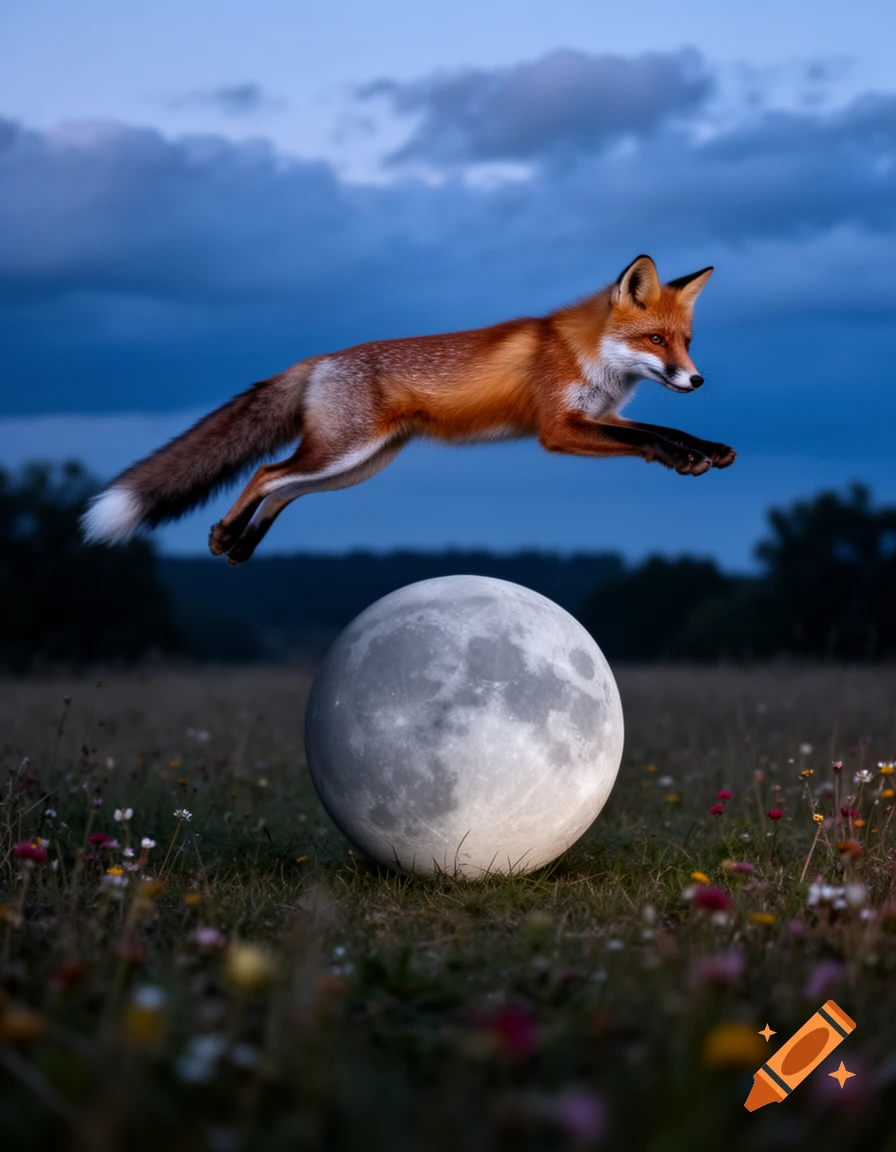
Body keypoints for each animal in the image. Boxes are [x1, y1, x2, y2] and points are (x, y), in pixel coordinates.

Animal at [81, 254, 735, 565]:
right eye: (656, 340)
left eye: (687, 341)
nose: (697, 378)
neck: (587, 357)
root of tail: (319, 358)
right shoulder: (559, 428)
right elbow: (649, 440)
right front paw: (684, 457)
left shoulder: (603, 418)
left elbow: (662, 426)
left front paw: (707, 449)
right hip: (343, 451)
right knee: (266, 473)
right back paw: (224, 535)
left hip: (359, 464)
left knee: (285, 488)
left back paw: (242, 545)